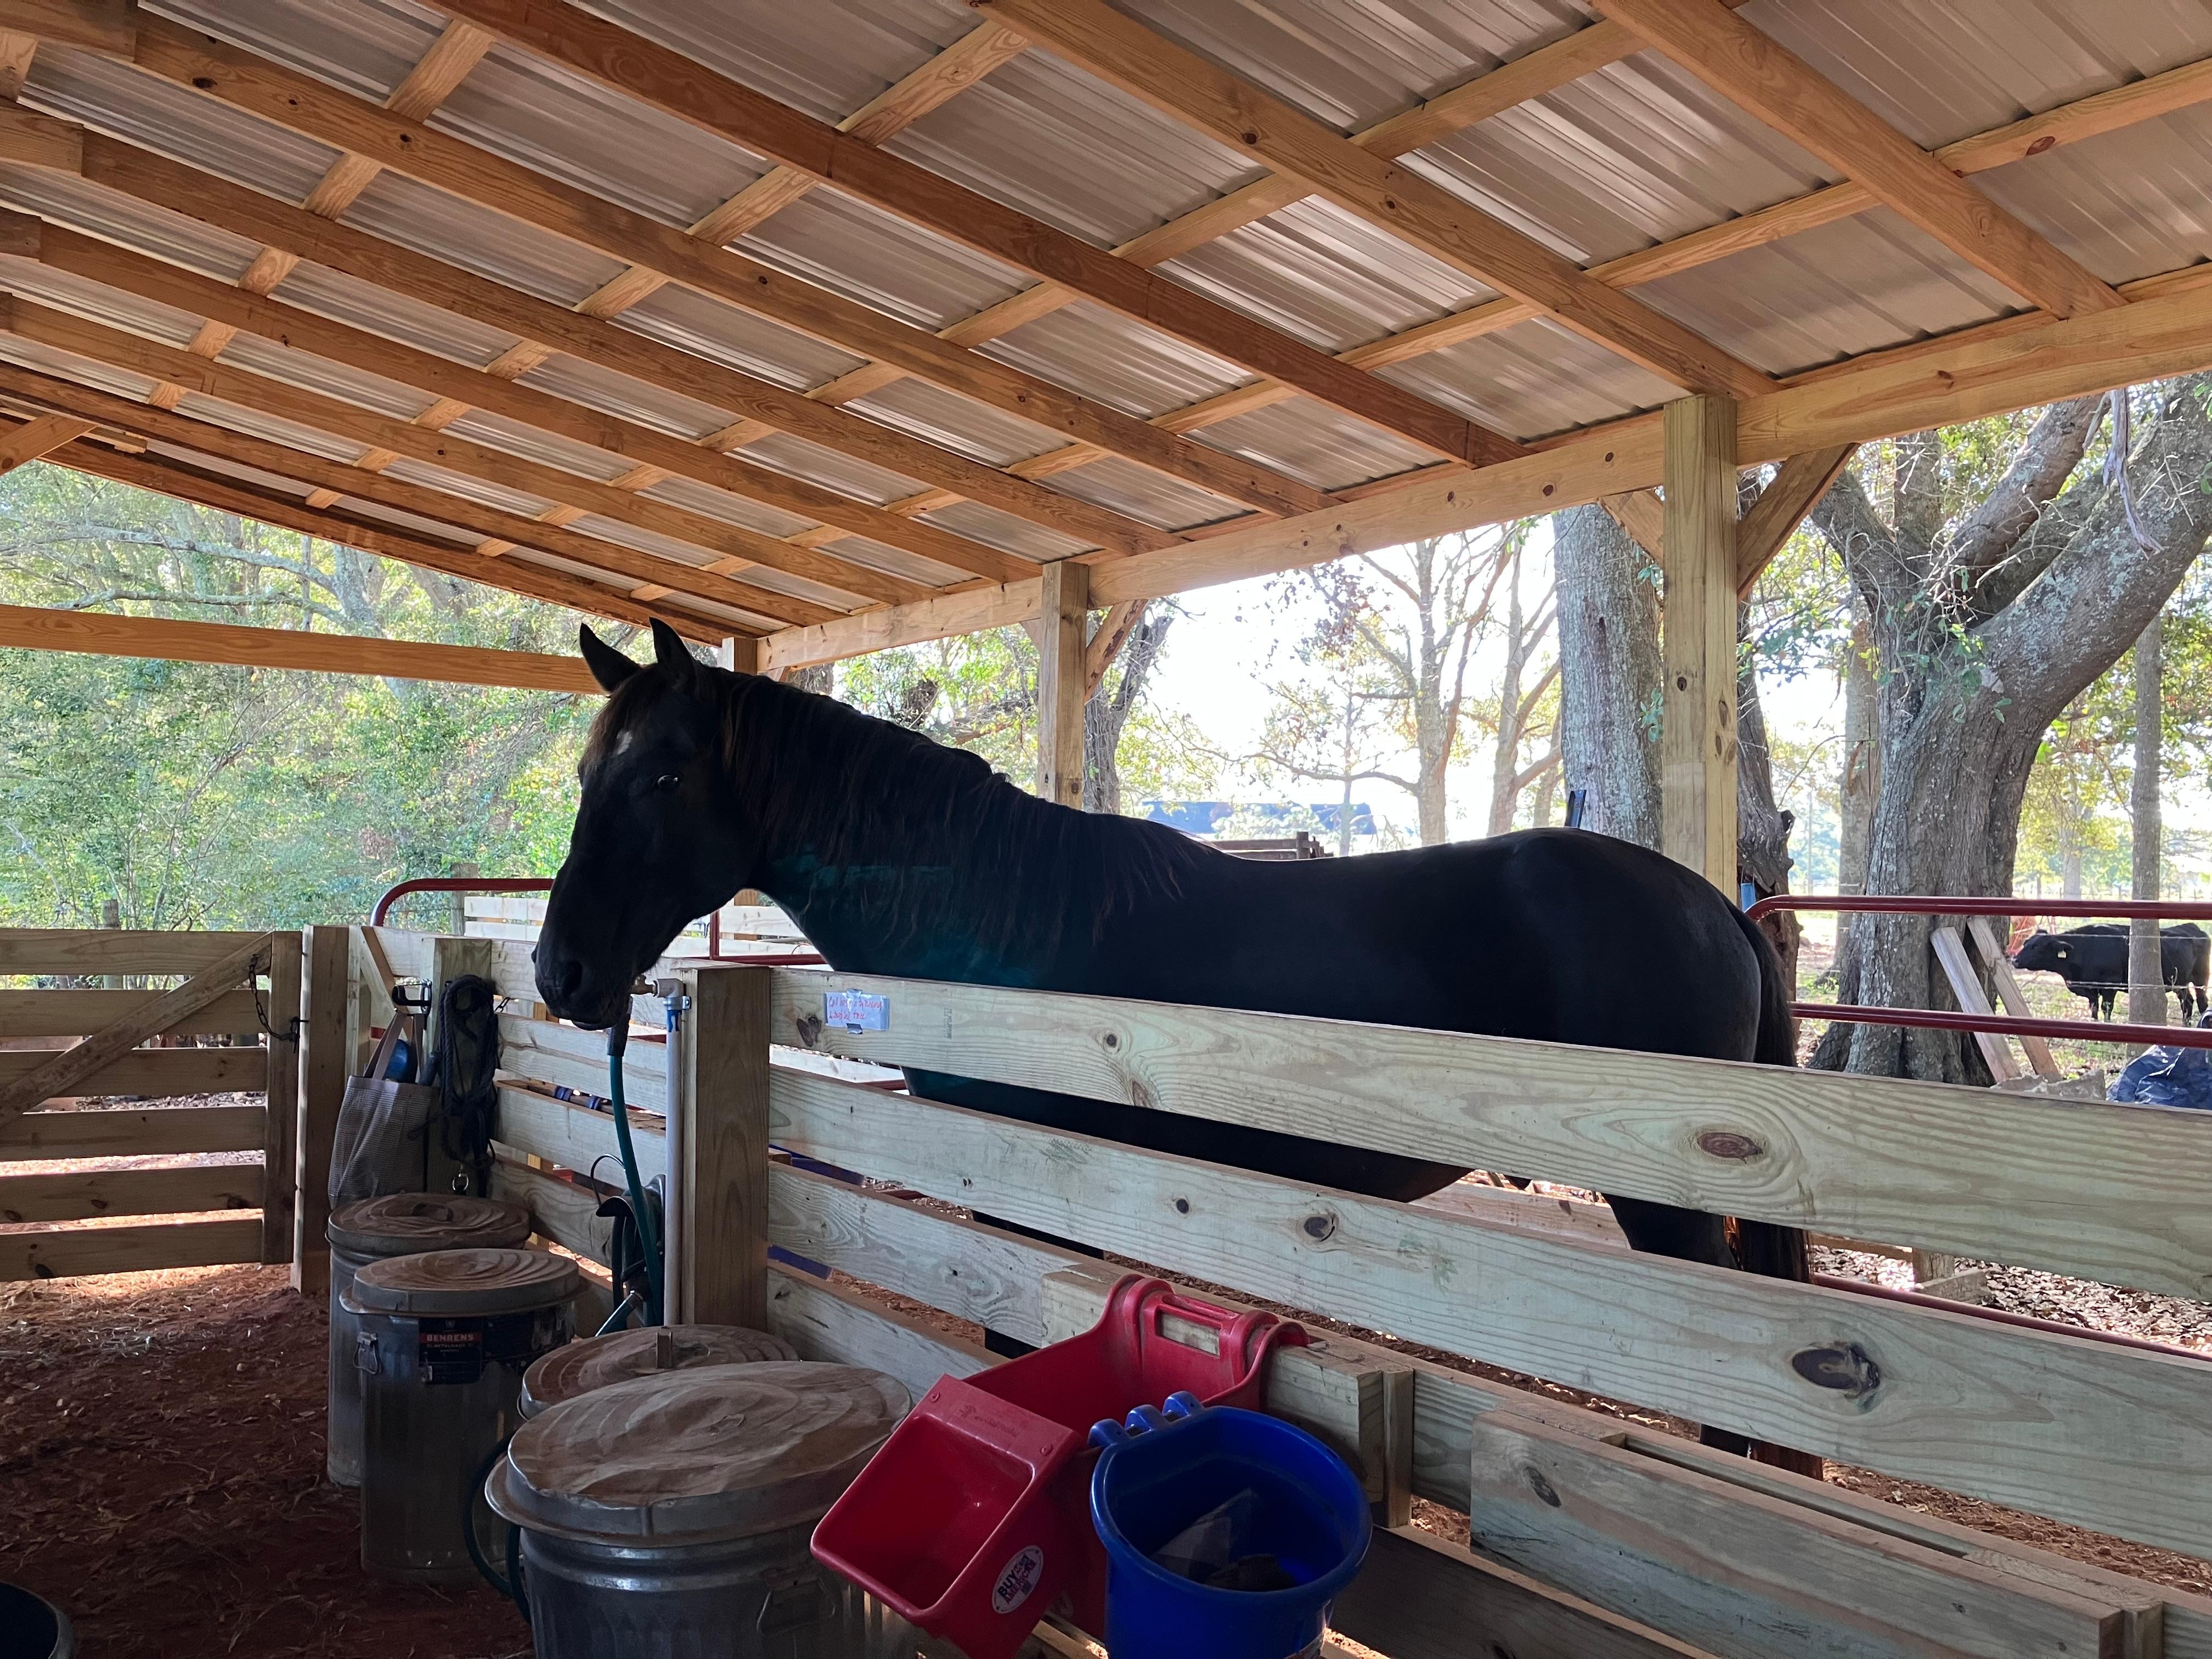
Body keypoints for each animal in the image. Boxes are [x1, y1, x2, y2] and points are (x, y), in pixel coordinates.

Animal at [535, 622, 1808, 1453]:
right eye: (590, 769)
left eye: (664, 774)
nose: (562, 971)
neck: (1002, 920)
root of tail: (1715, 907)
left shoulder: (1027, 1185)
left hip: (1669, 1212)